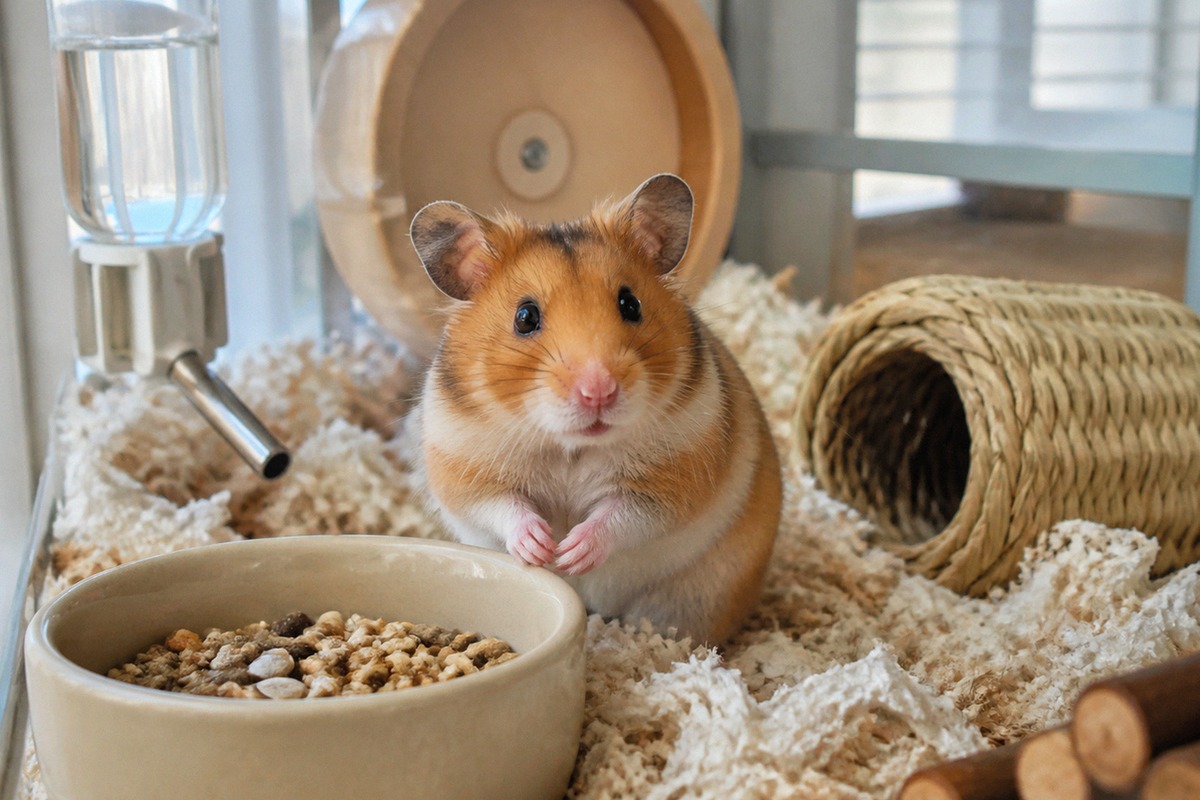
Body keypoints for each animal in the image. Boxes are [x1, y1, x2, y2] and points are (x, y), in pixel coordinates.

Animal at [408, 174, 782, 643]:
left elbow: (622, 517)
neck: (571, 447)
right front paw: (542, 548)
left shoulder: (672, 481)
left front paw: (572, 552)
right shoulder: (464, 470)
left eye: (630, 304)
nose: (599, 391)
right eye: (525, 317)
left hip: (696, 596)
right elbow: (502, 507)